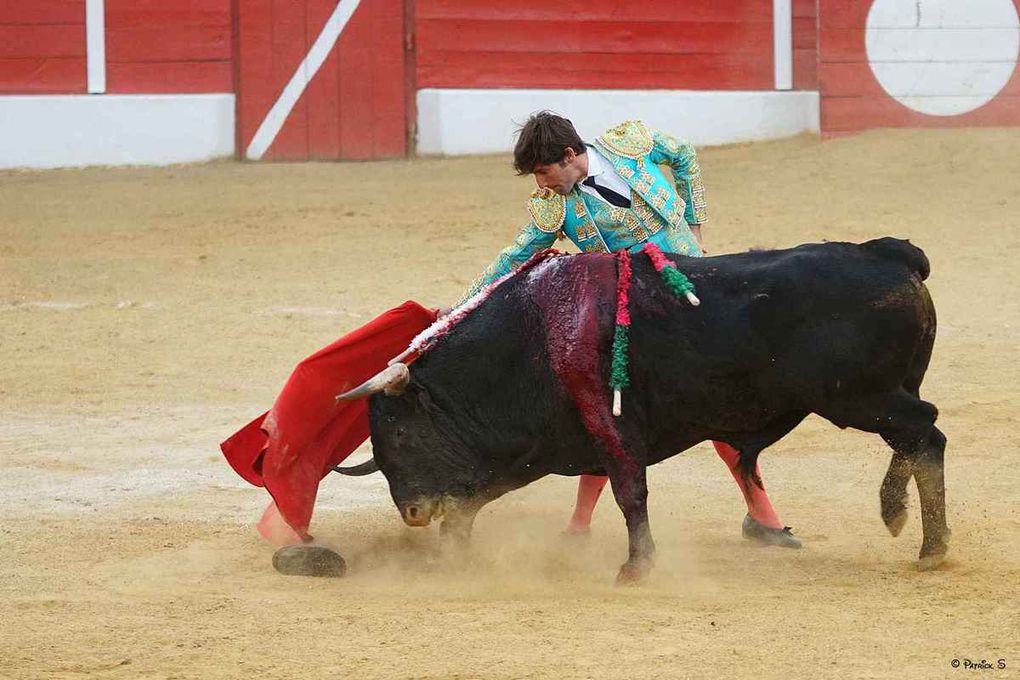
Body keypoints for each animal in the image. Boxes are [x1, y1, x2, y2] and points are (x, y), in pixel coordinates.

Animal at [338, 236, 942, 583]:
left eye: (399, 433)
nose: (412, 513)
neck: (532, 339)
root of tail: (888, 252)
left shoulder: (610, 424)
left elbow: (630, 490)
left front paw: (636, 566)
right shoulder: (547, 444)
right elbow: (482, 496)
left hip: (860, 397)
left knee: (927, 434)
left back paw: (930, 545)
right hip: (881, 395)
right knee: (917, 438)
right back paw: (899, 518)